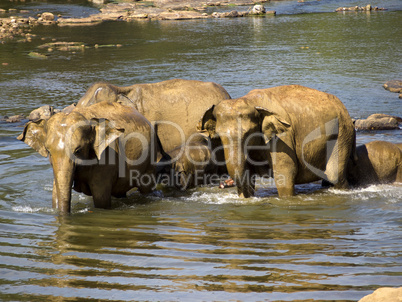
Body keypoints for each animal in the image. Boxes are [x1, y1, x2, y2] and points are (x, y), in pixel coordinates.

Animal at [198, 85, 354, 198]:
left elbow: (285, 174)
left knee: (335, 176)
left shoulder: (282, 137)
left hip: (342, 133)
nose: (224, 184)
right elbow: (248, 174)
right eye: (219, 136)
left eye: (249, 134)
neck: (251, 101)